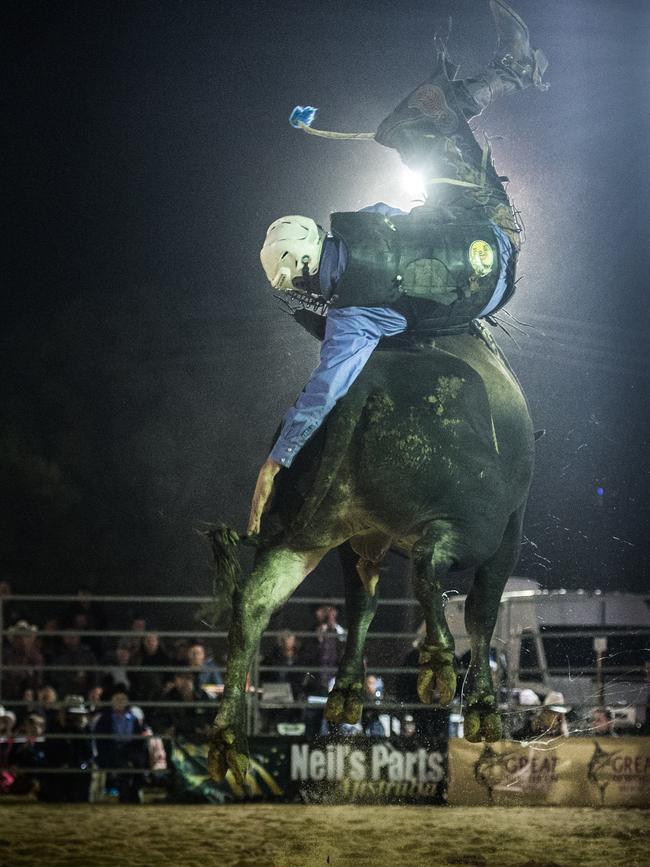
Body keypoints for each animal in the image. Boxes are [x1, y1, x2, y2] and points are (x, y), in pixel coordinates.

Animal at [206, 322, 532, 784]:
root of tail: (360, 387)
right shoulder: (511, 530)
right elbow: (482, 612)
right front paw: (483, 710)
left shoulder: (359, 543)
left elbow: (363, 604)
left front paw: (345, 693)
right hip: (479, 525)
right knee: (428, 562)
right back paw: (437, 664)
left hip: (309, 533)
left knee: (254, 603)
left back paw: (229, 739)